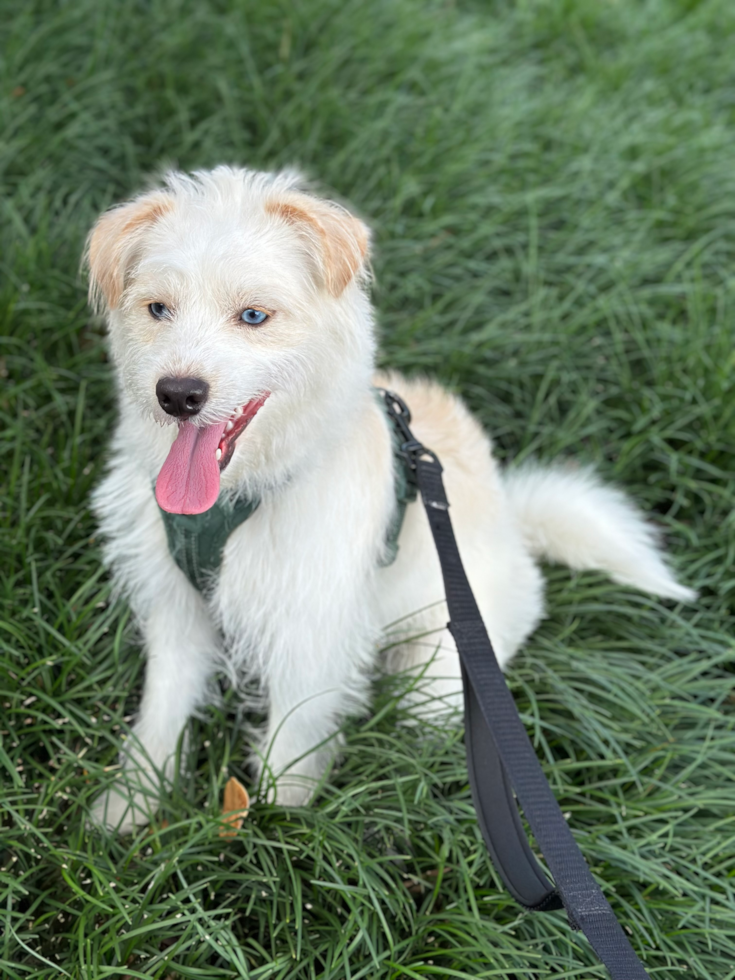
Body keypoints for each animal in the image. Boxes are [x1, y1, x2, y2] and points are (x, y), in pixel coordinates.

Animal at [86, 168, 696, 836]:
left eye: (253, 315)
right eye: (157, 309)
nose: (177, 395)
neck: (245, 494)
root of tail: (515, 528)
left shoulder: (312, 625)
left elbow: (292, 733)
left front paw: (281, 821)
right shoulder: (175, 605)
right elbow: (162, 709)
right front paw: (130, 802)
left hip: (437, 680)